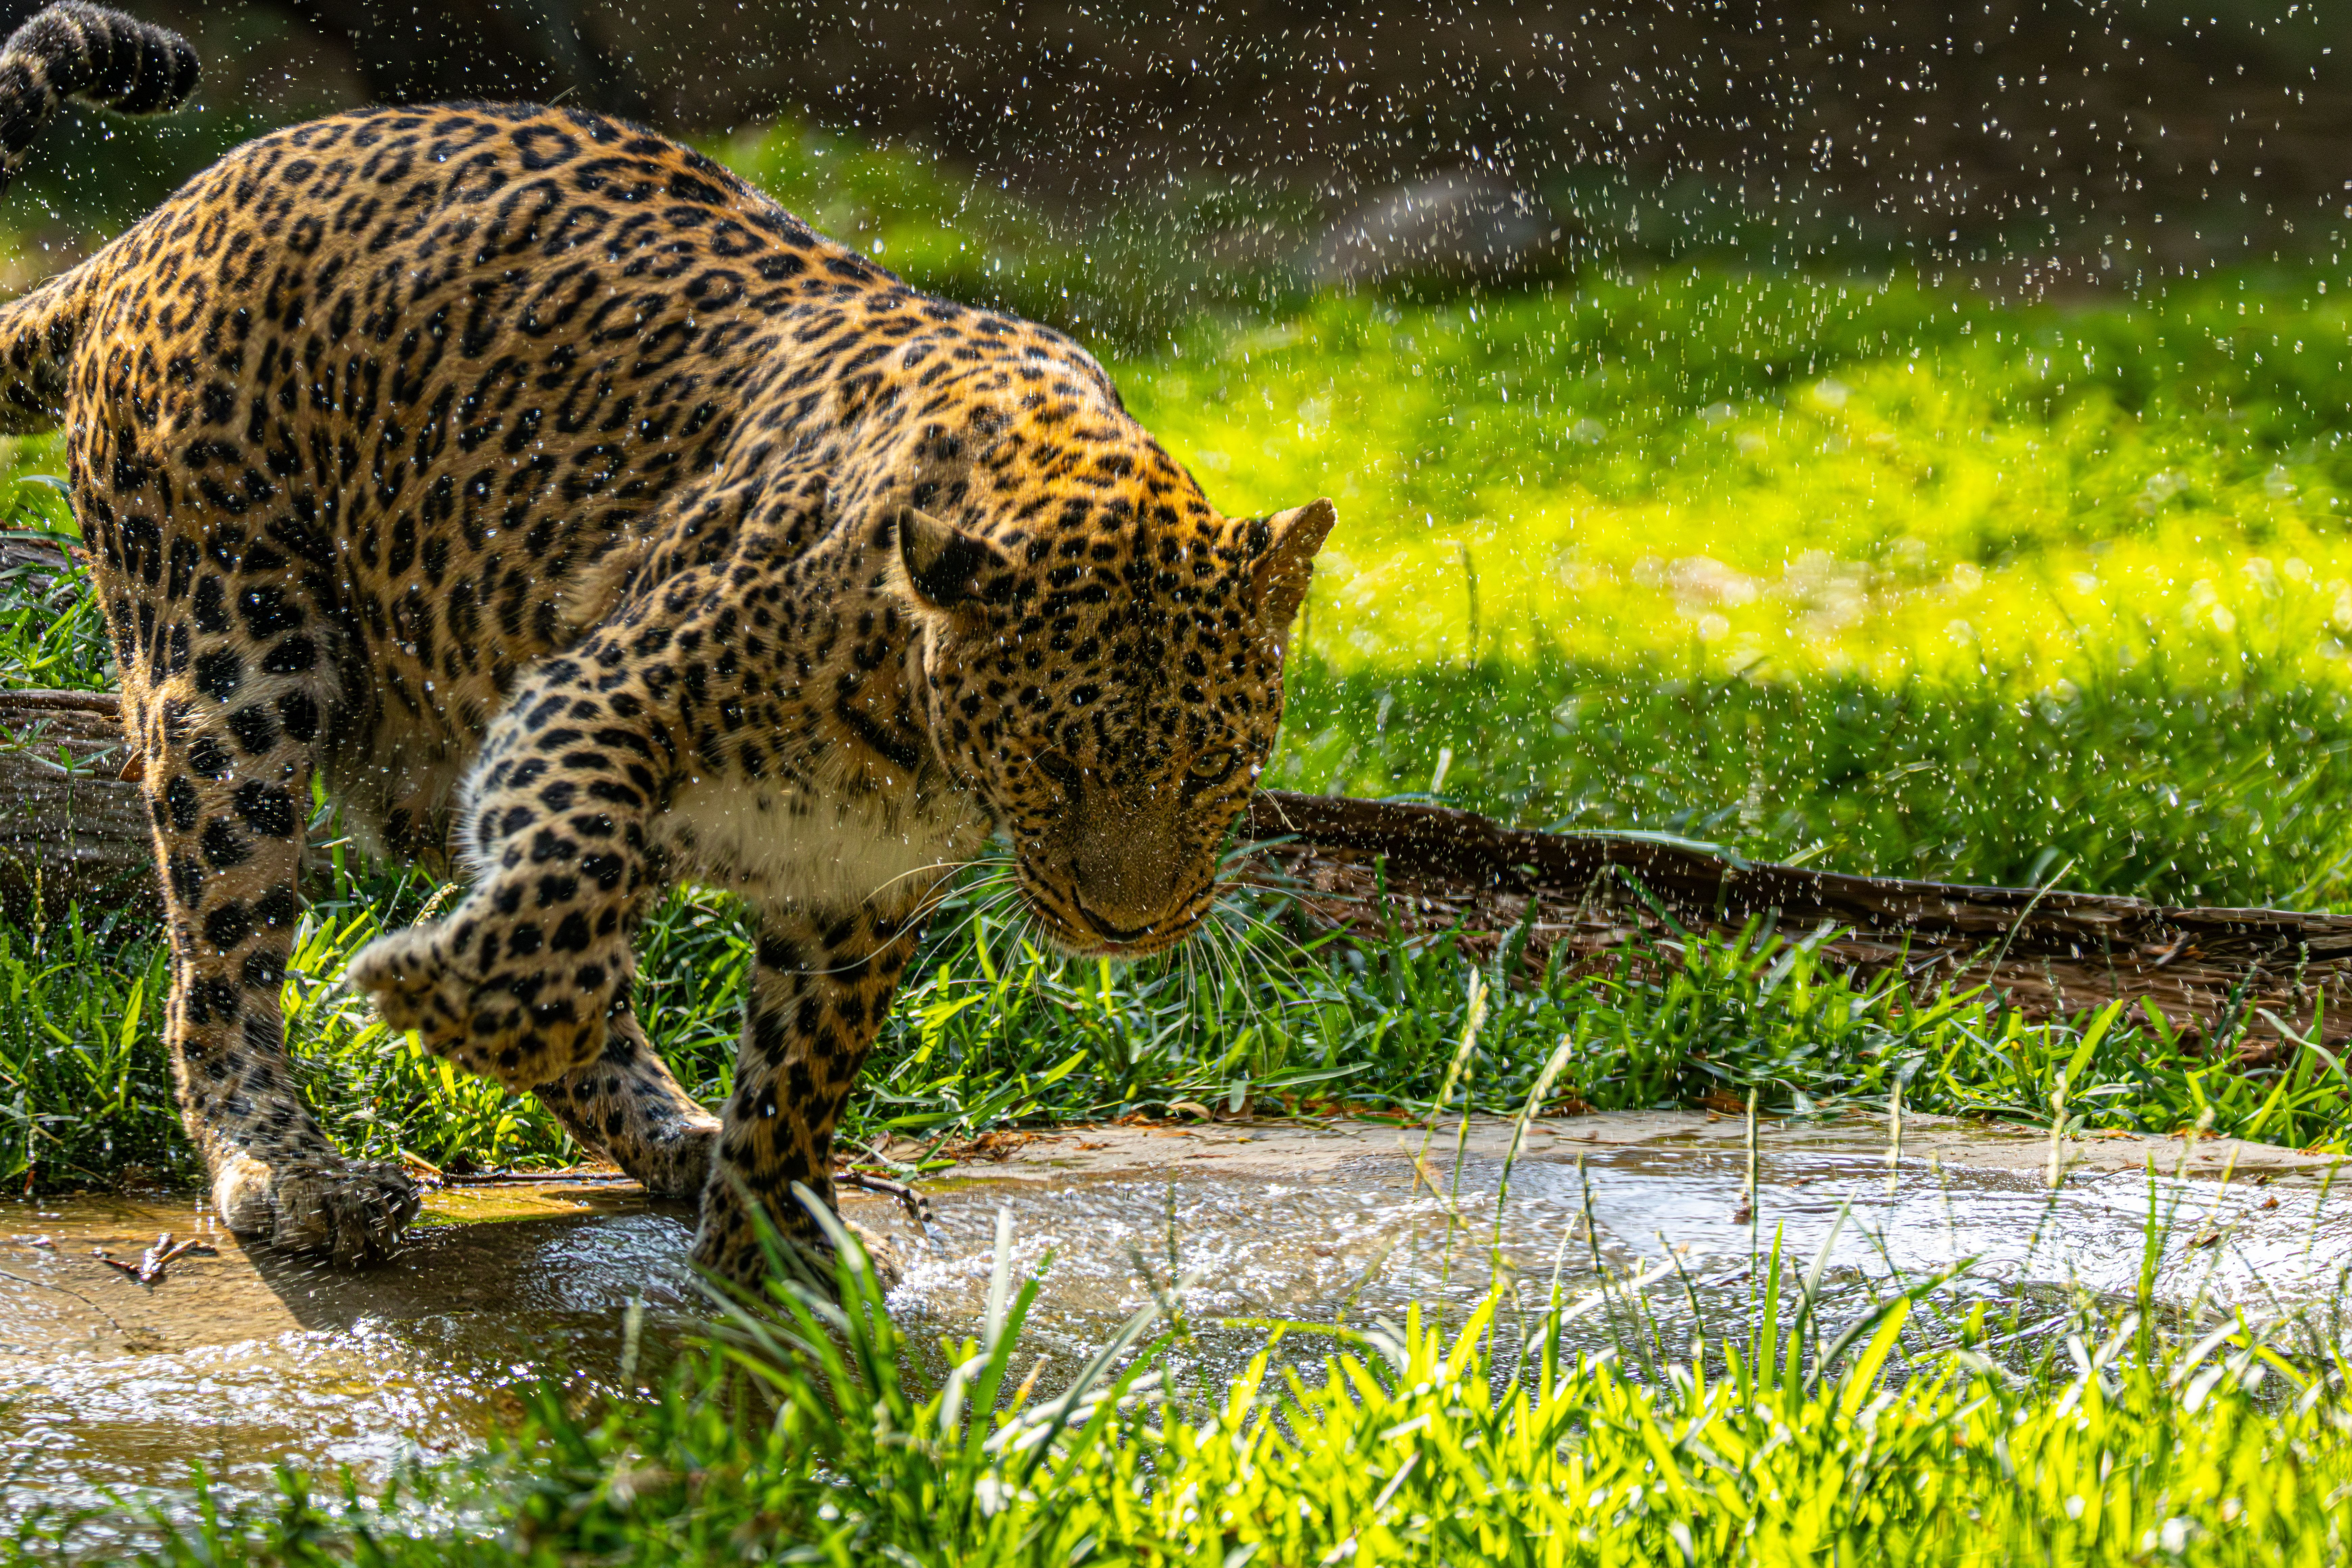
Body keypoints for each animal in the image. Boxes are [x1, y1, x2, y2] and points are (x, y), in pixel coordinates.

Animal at [0, 4, 1334, 1281]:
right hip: (236, 658)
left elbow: (803, 1059)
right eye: (1052, 765)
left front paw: (770, 1242)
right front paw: (445, 1001)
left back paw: (672, 1133)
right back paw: (287, 1167)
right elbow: (559, 901)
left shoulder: (858, 873)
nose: (1127, 929)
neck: (911, 727)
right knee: (223, 957)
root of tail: (162, 221)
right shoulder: (588, 700)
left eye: (1213, 769)